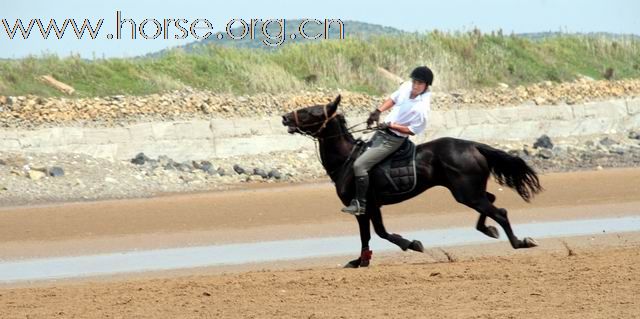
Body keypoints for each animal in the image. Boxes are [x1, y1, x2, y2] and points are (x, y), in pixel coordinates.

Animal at [280, 94, 540, 268]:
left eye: (313, 112)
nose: (284, 118)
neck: (347, 159)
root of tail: (473, 145)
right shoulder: (369, 207)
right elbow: (371, 234)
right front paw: (361, 260)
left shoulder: (364, 206)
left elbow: (378, 233)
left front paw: (411, 244)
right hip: (471, 192)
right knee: (492, 201)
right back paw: (488, 229)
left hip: (467, 193)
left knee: (500, 212)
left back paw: (519, 242)